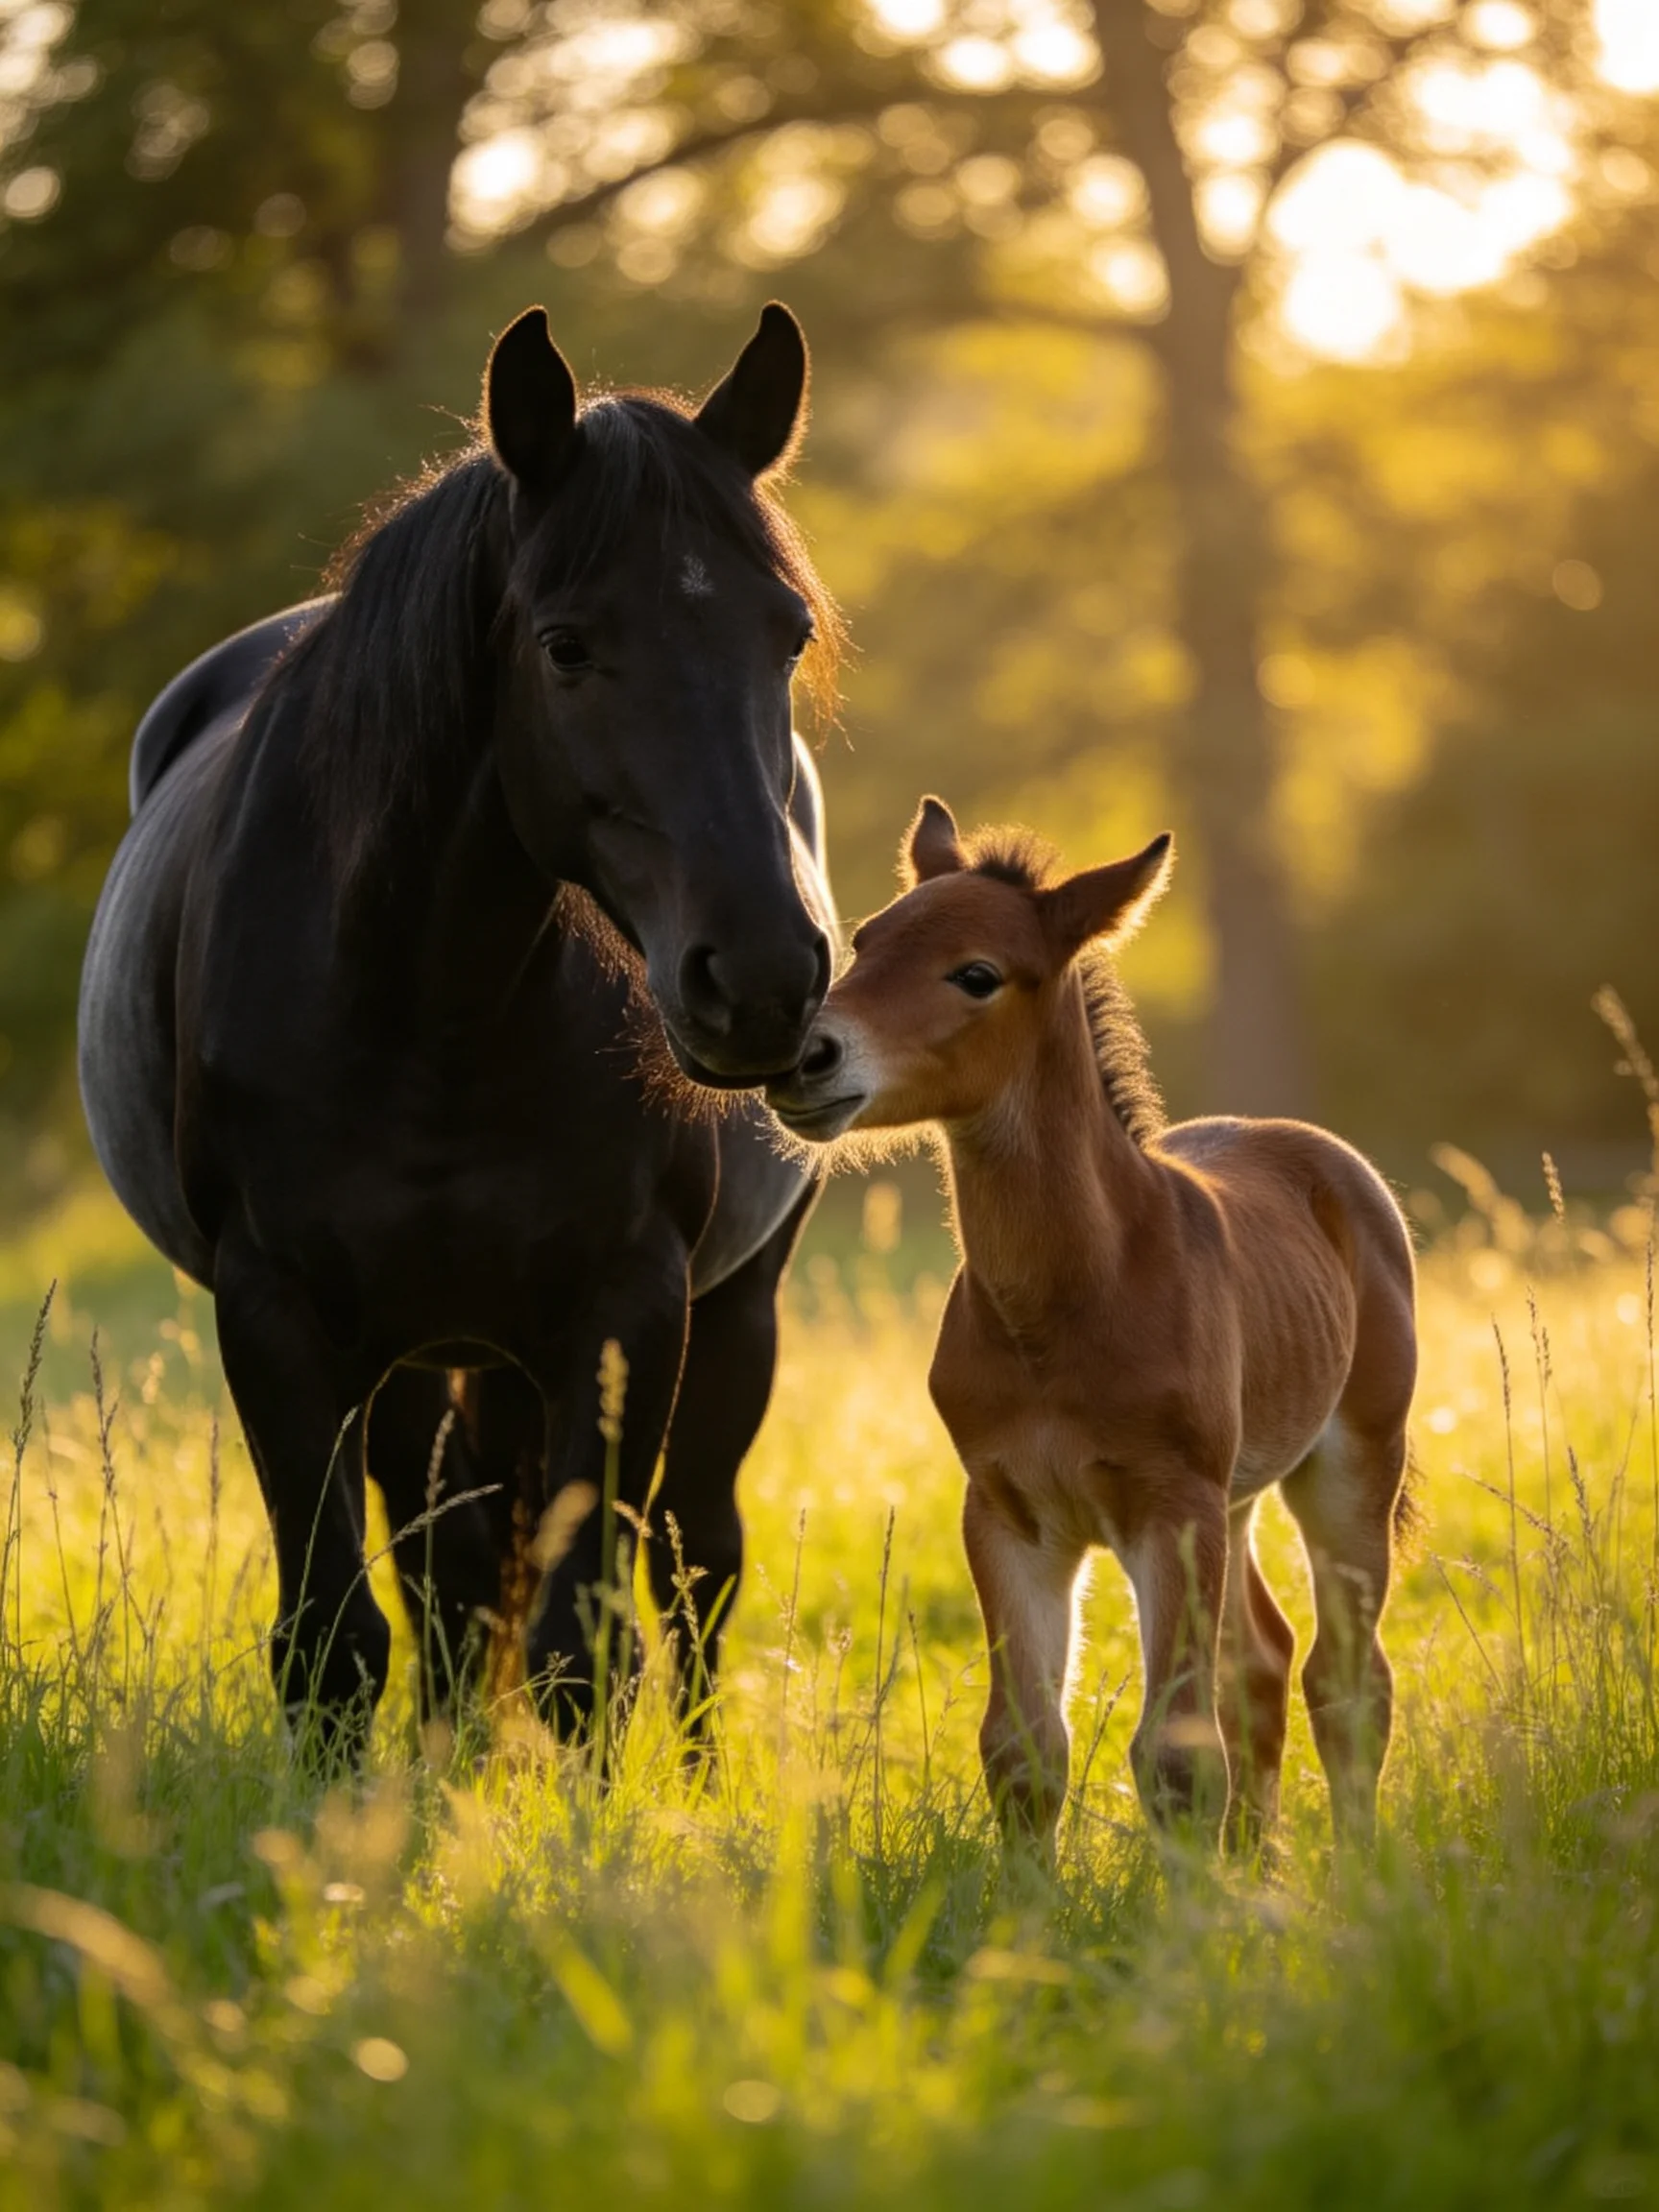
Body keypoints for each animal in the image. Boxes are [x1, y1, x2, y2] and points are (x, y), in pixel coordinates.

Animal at [78, 302, 840, 1752]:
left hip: (738, 1309)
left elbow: (584, 1646)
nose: (767, 980)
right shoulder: (276, 1313)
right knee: (454, 1570)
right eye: (565, 644)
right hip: (423, 1359)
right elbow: (335, 1642)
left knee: (694, 1563)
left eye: (788, 636)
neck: (429, 1011)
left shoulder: (630, 1306)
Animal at [766, 797, 1417, 1850]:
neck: (1067, 1306)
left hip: (1352, 1460)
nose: (803, 1058)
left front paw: (1194, 1900)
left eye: (977, 974)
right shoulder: (1009, 1513)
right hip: (1237, 1496)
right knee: (1265, 1661)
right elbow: (1023, 1748)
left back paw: (1355, 1867)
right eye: (865, 942)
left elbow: (1179, 1754)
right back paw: (1259, 1863)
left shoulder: (1170, 1508)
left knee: (1349, 1675)